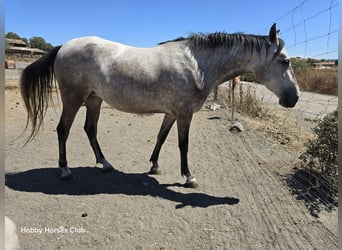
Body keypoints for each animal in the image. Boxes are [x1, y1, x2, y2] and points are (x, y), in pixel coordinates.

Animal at [20, 23, 300, 188]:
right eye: (285, 61)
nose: (294, 97)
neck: (198, 65)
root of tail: (63, 47)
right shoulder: (185, 114)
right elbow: (183, 145)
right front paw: (189, 177)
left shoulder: (172, 113)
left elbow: (161, 137)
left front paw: (154, 166)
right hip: (73, 99)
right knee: (63, 130)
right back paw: (66, 171)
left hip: (94, 100)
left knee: (90, 130)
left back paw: (106, 164)